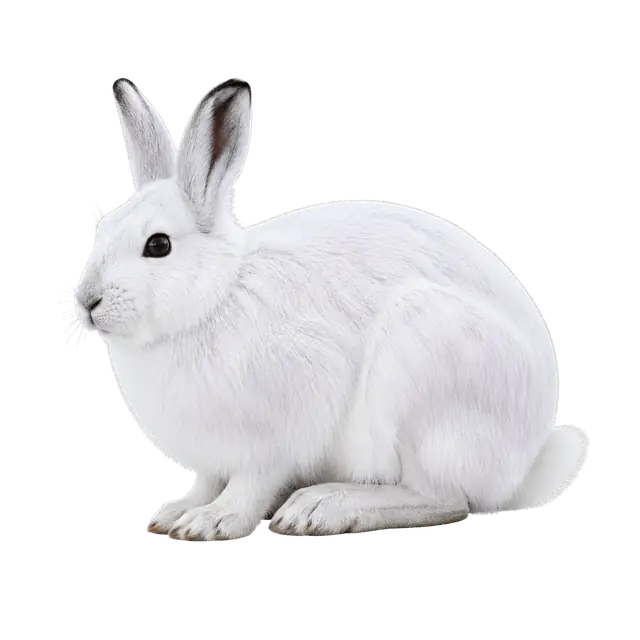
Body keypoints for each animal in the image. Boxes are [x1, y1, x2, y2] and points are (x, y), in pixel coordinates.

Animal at [74, 76, 588, 542]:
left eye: (158, 246)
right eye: (104, 227)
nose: (87, 301)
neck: (215, 298)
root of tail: (523, 465)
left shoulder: (274, 439)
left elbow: (248, 487)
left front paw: (212, 523)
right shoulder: (217, 459)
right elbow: (208, 482)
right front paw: (175, 515)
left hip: (425, 370)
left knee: (444, 498)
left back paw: (323, 508)